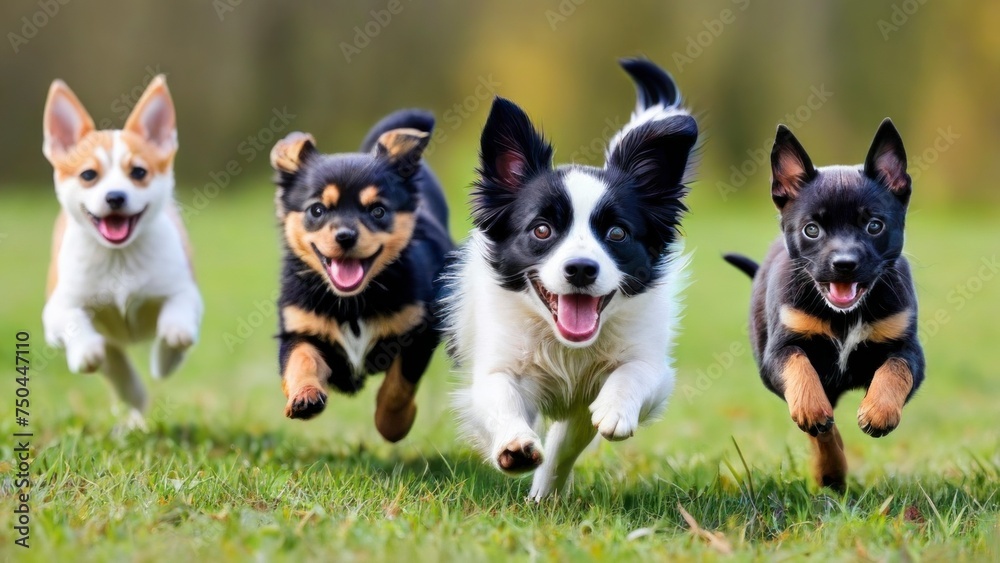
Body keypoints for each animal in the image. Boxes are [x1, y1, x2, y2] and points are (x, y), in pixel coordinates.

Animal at [42, 76, 203, 428]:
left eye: (139, 172)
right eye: (89, 175)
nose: (115, 196)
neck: (119, 258)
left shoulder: (185, 290)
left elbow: (178, 320)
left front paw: (167, 350)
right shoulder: (56, 309)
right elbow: (73, 320)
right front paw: (85, 349)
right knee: (116, 364)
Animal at [268, 110, 452, 442]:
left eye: (378, 211)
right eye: (316, 210)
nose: (345, 236)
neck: (352, 302)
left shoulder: (420, 332)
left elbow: (399, 384)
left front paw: (392, 424)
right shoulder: (297, 329)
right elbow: (301, 360)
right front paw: (305, 396)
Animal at [442, 60, 700, 502]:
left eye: (617, 233)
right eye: (542, 230)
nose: (581, 268)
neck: (565, 346)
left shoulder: (645, 363)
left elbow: (633, 374)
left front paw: (615, 408)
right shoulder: (499, 363)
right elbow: (499, 394)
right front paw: (514, 445)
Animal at [724, 118, 924, 490]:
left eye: (874, 225)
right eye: (812, 230)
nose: (844, 263)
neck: (845, 316)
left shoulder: (908, 349)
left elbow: (895, 370)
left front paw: (879, 411)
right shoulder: (780, 351)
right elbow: (799, 368)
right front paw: (811, 409)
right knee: (823, 430)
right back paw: (830, 468)